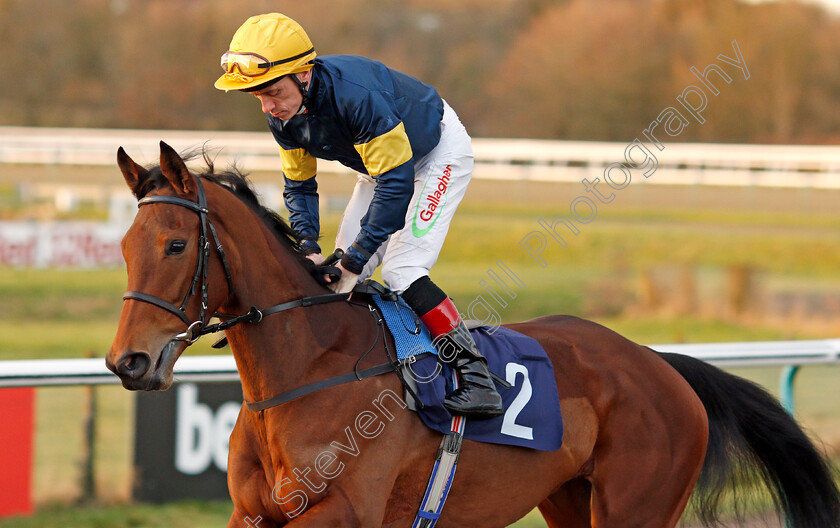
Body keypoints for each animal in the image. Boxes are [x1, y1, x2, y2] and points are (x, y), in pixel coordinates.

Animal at [106, 141, 840, 528]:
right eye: (124, 245)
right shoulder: (253, 512)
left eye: (176, 244)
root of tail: (659, 364)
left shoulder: (345, 512)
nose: (127, 361)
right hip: (570, 501)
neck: (309, 369)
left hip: (638, 506)